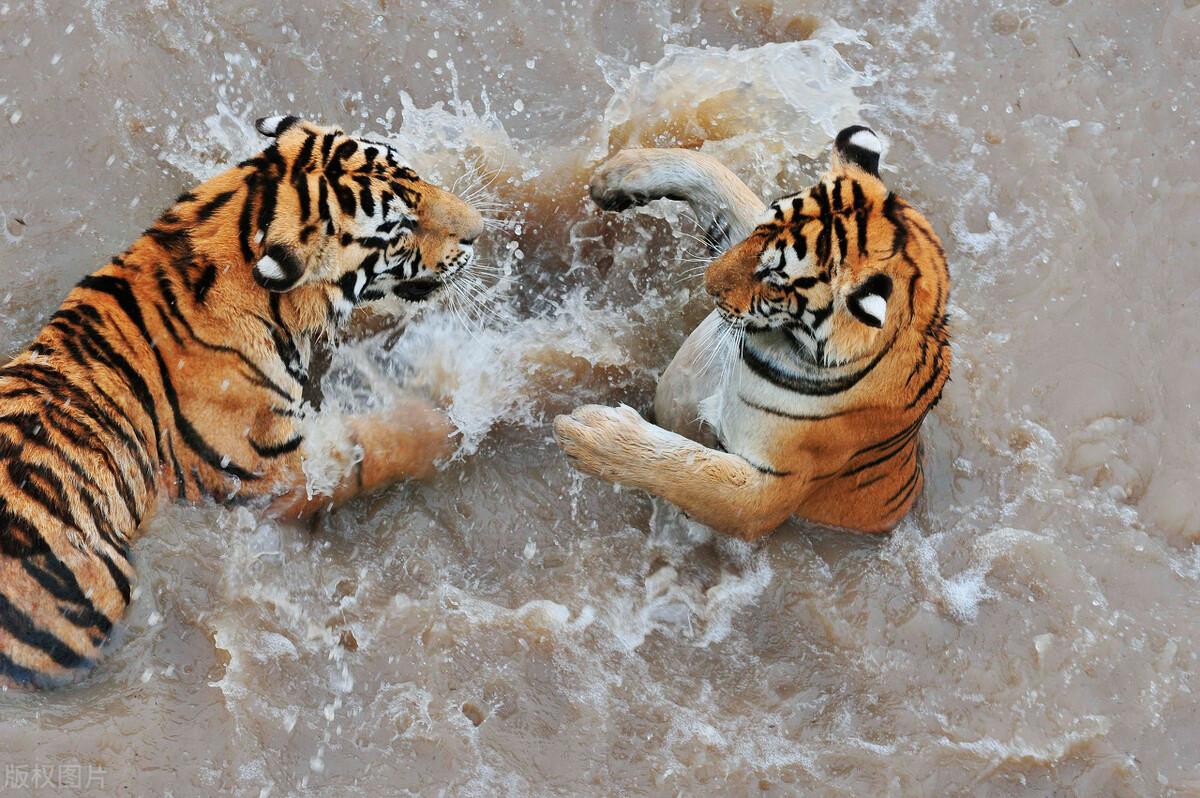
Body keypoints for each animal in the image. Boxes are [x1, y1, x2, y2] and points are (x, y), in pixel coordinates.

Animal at [0, 114, 483, 688]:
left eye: (414, 173)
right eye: (399, 229)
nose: (480, 230)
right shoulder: (276, 471)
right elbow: (381, 444)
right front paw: (453, 423)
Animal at [554, 126, 950, 540]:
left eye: (775, 277)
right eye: (765, 226)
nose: (708, 284)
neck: (773, 341)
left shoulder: (768, 493)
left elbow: (689, 469)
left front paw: (590, 435)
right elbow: (716, 175)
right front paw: (619, 173)